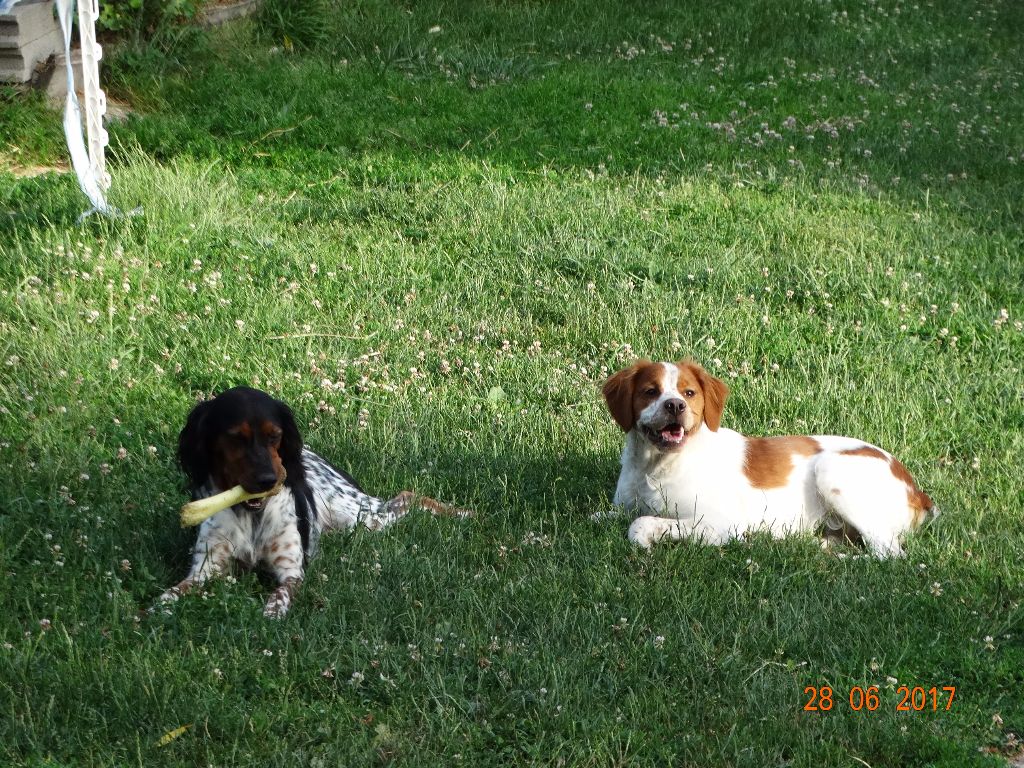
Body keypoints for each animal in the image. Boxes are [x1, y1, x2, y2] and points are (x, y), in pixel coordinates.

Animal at [602, 360, 933, 561]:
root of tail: (918, 492)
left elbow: (641, 522)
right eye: (650, 391)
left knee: (887, 553)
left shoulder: (720, 523)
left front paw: (645, 539)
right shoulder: (620, 507)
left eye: (689, 392)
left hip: (831, 470)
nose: (675, 405)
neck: (657, 466)